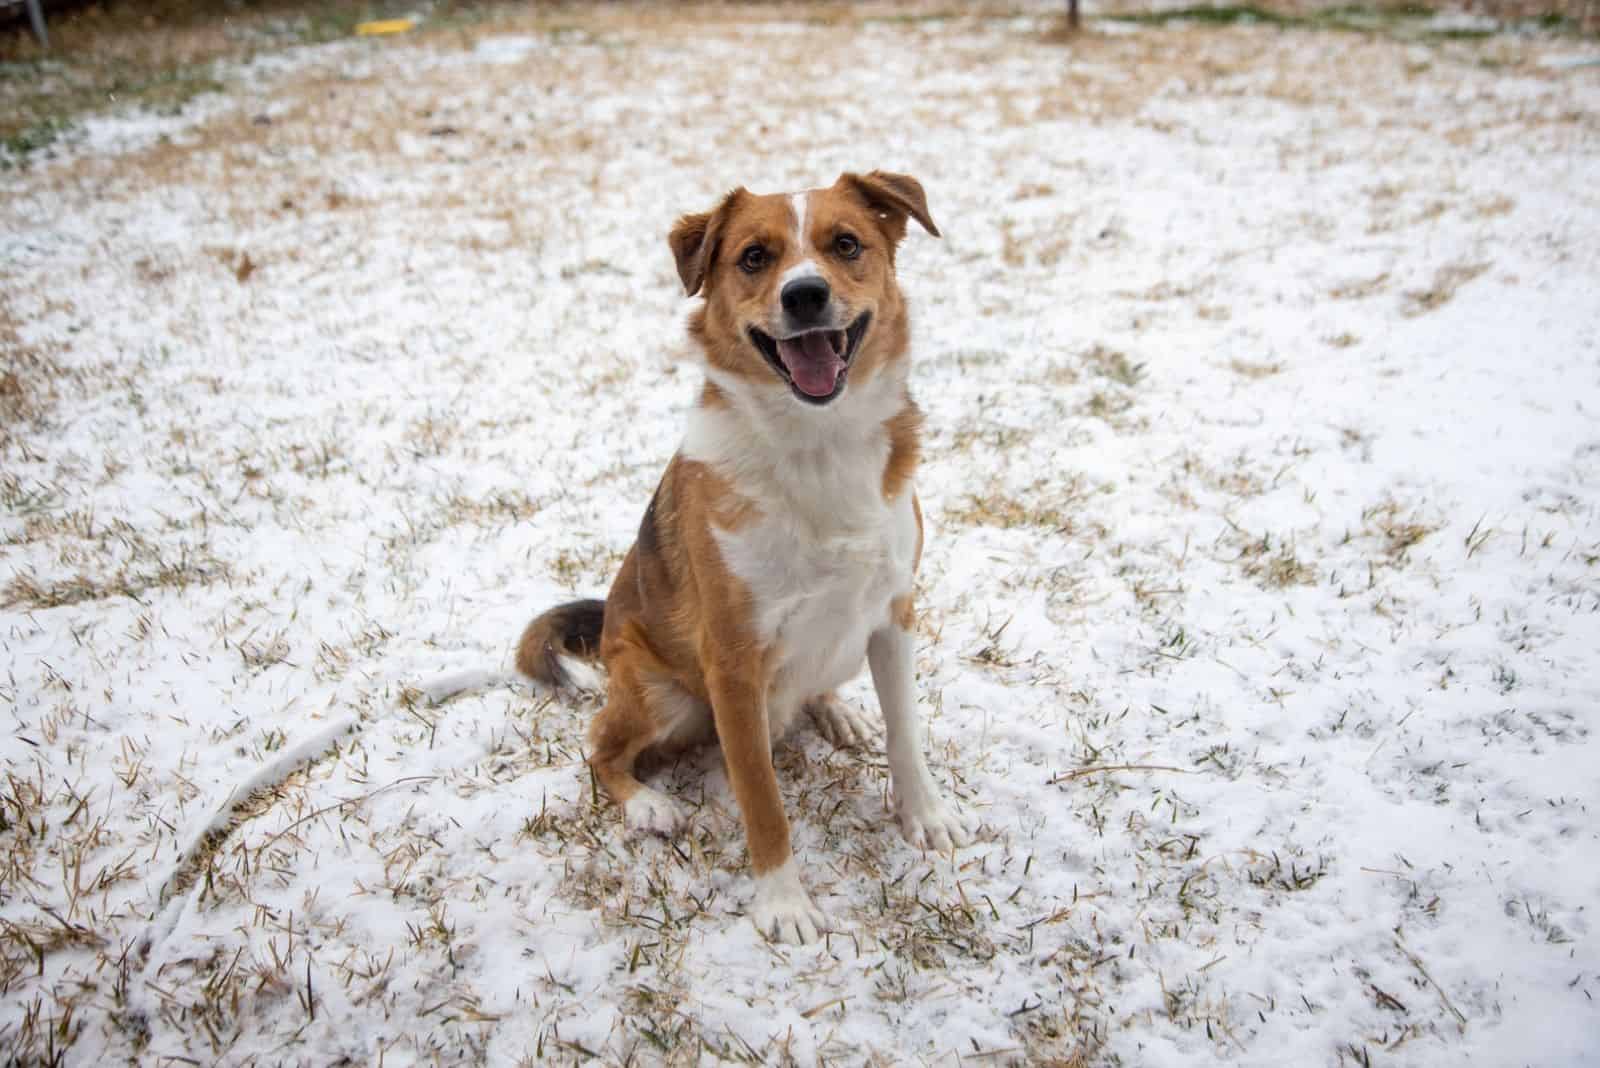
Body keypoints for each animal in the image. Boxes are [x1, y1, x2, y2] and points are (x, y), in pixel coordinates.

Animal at [518, 168, 966, 940]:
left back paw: (836, 710)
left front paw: (924, 814)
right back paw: (648, 804)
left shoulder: (893, 616)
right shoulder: (732, 662)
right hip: (659, 692)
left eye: (847, 244)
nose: (805, 294)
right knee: (599, 747)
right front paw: (784, 904)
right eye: (754, 257)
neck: (818, 445)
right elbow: (761, 798)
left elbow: (907, 734)